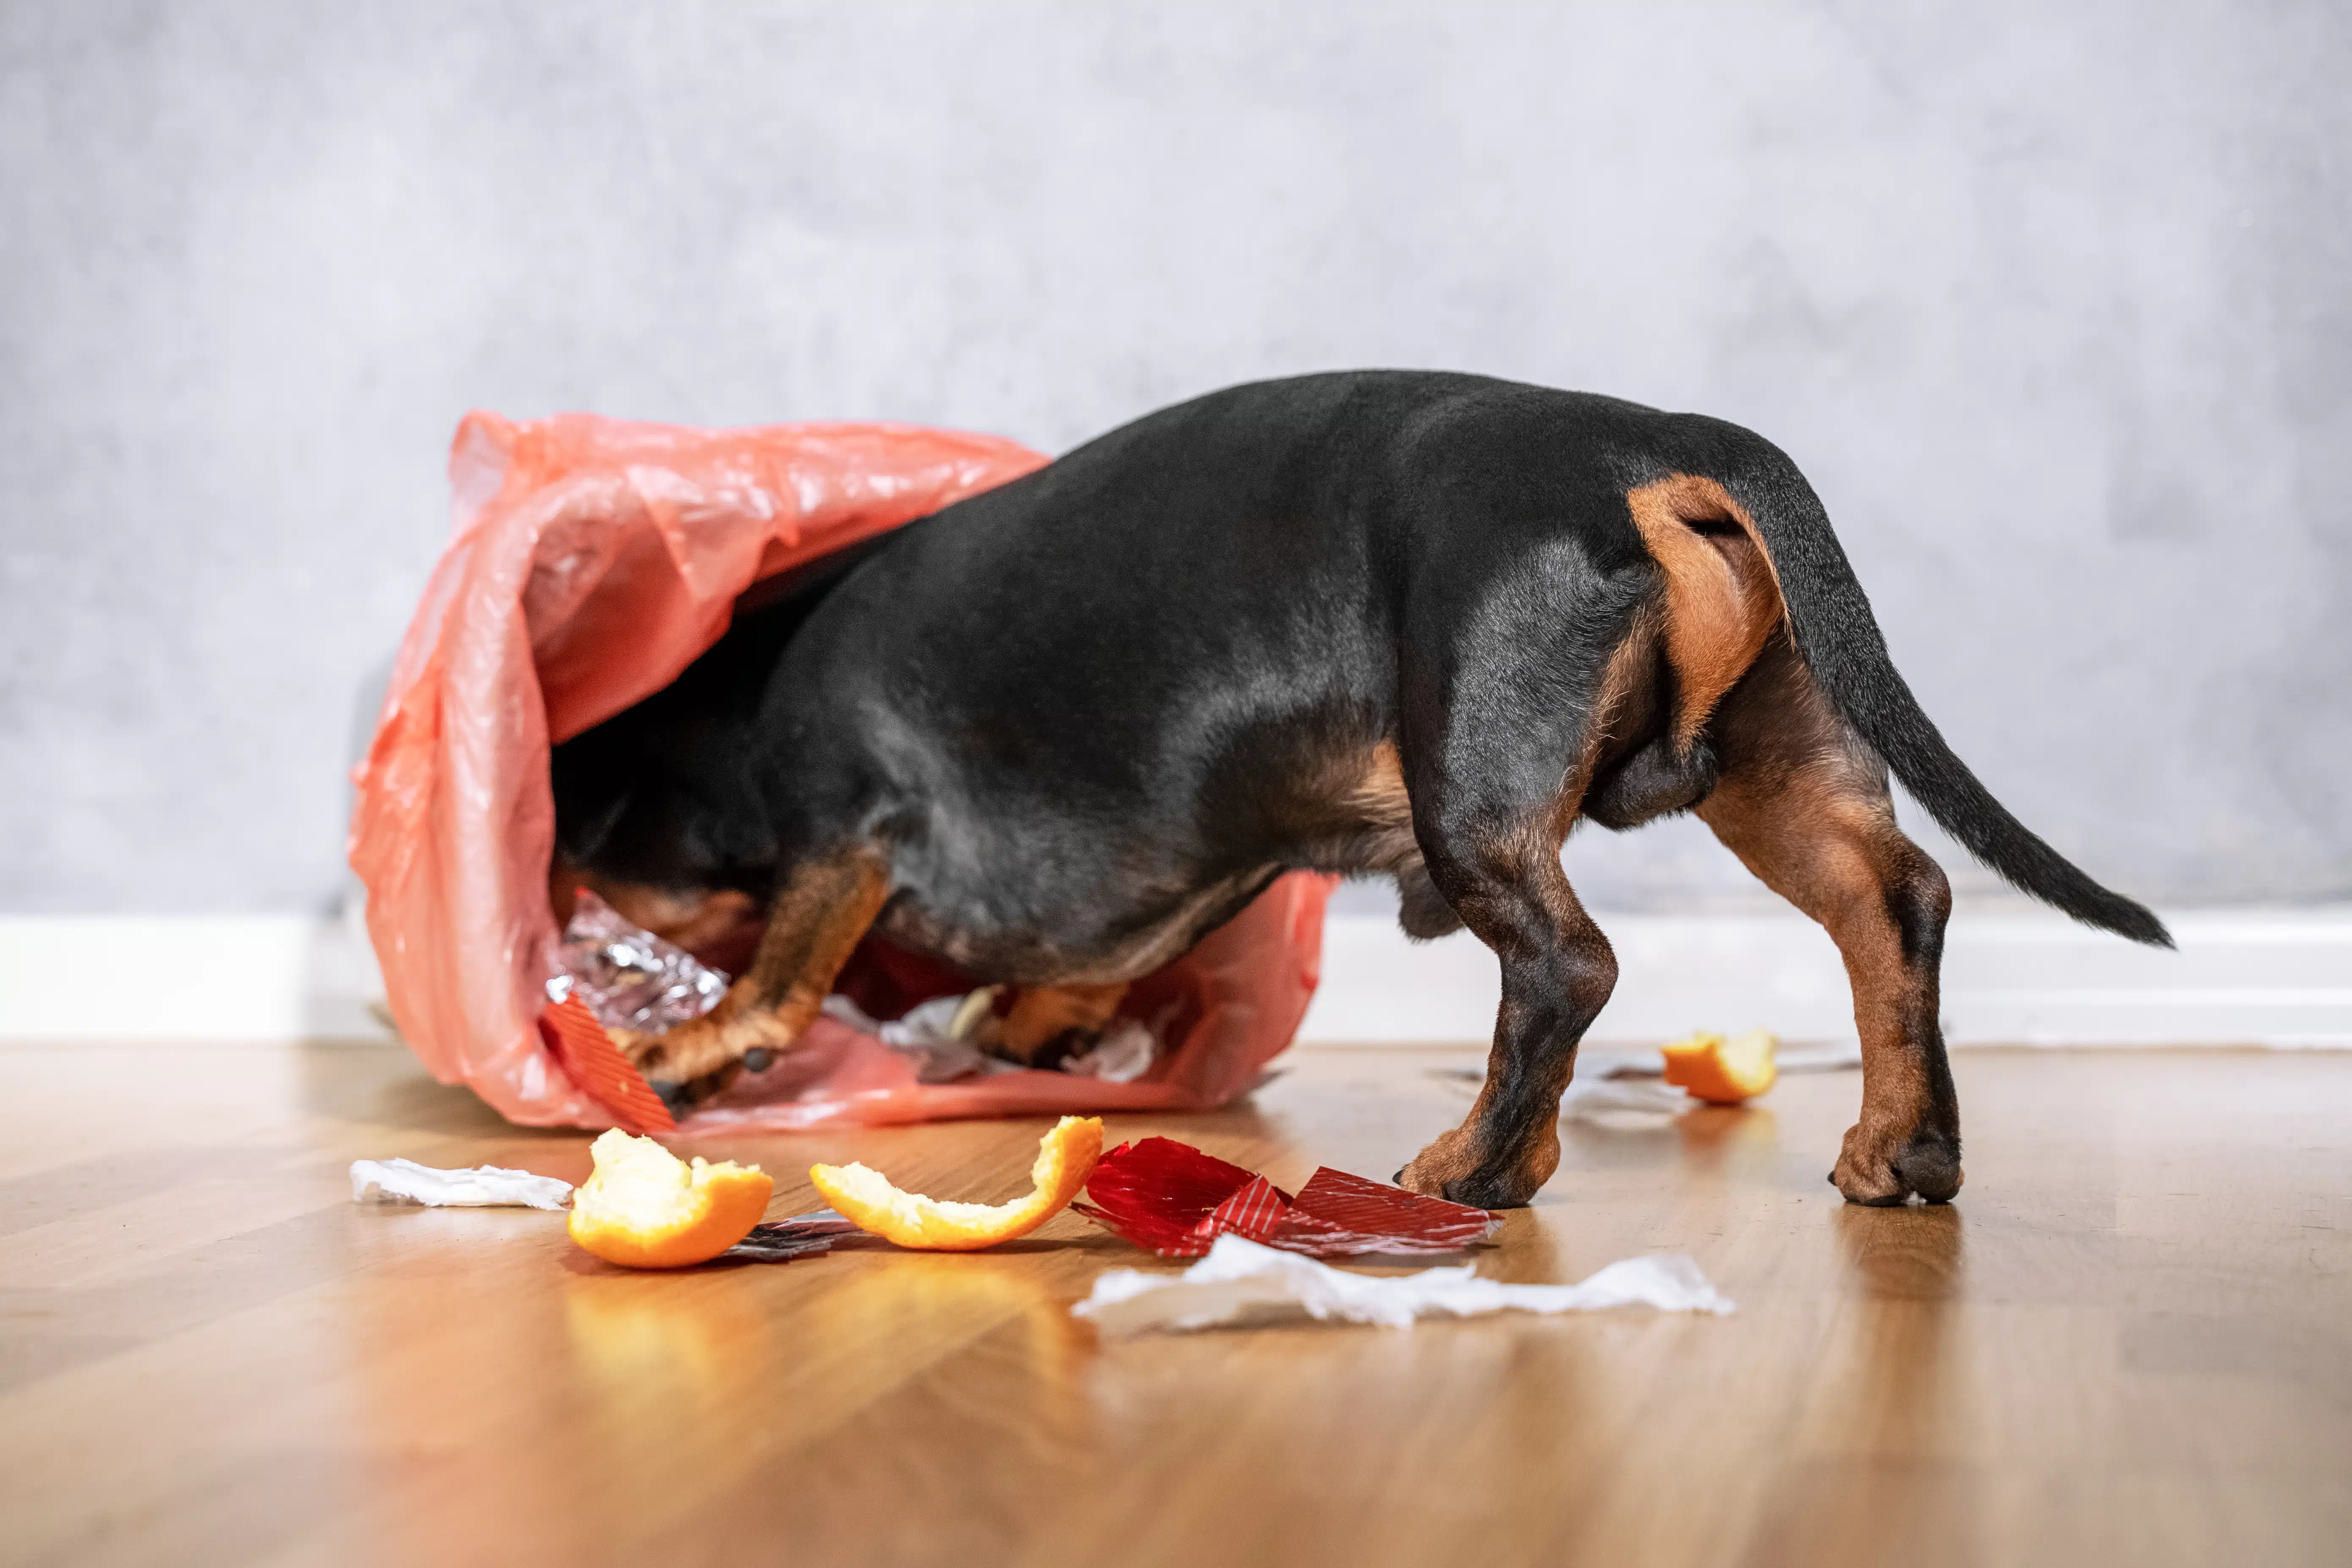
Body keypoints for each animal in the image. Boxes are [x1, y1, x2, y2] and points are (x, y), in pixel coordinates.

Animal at [550, 373, 2164, 1213]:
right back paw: (1905, 1144)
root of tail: (1657, 451)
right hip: (1777, 766)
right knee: (1894, 904)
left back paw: (1480, 1165)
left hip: (1476, 793)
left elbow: (773, 985)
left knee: (1566, 967)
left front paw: (688, 1047)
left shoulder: (841, 833)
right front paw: (1016, 1027)